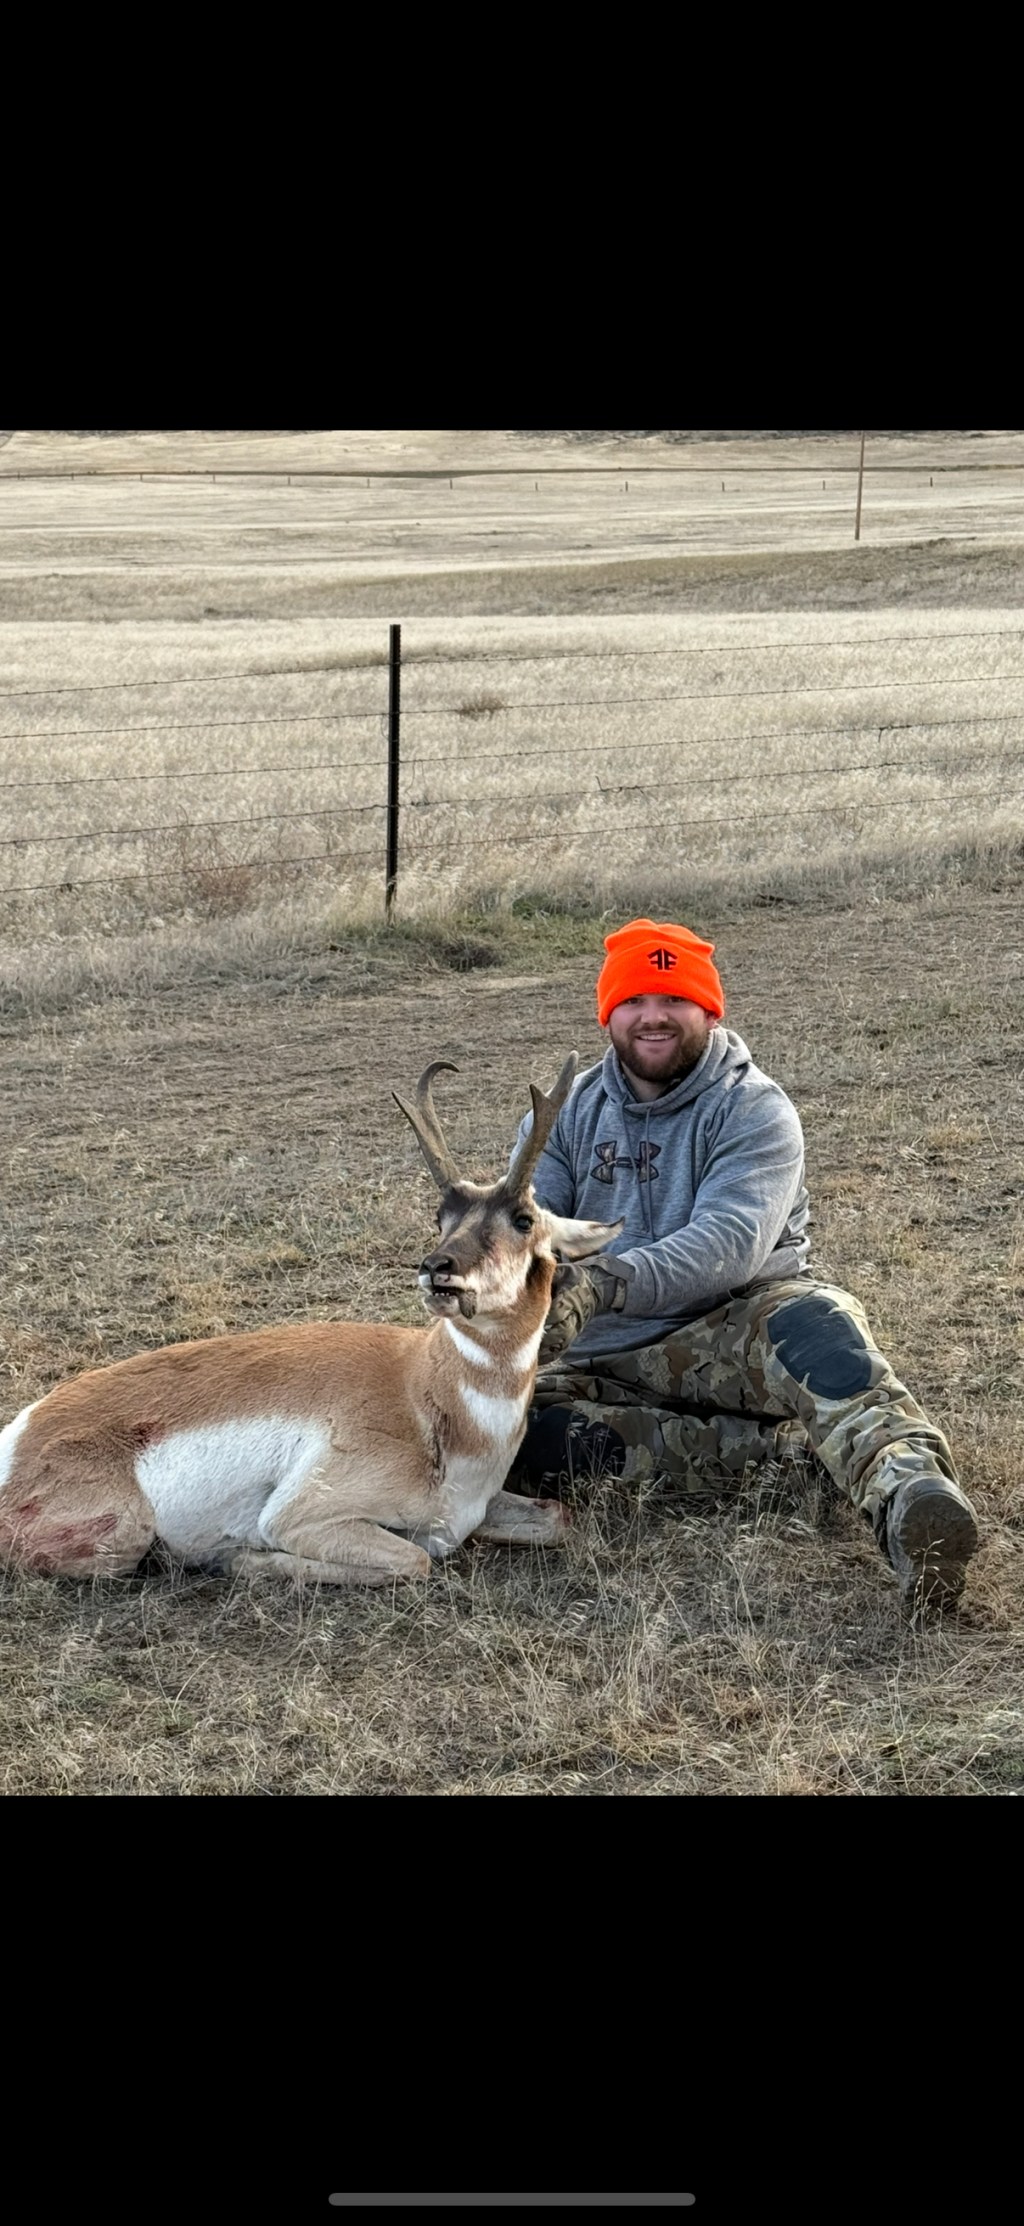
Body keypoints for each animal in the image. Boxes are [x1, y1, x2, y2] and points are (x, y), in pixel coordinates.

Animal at [0, 1056, 622, 1587]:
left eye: (523, 1219)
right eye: (440, 1216)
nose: (436, 1269)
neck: (425, 1391)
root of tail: (21, 1436)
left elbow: (560, 1517)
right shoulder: (302, 1518)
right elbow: (415, 1558)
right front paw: (238, 1558)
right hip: (122, 1537)